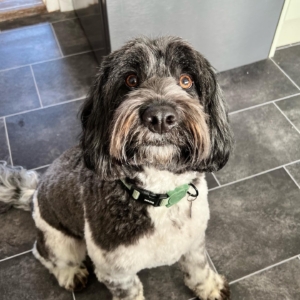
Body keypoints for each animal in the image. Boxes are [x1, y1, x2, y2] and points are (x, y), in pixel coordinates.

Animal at [0, 36, 233, 298]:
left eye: (186, 80)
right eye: (131, 80)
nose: (160, 117)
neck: (159, 194)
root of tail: (35, 193)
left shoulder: (194, 240)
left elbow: (198, 264)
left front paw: (209, 286)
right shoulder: (116, 273)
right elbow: (131, 291)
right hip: (60, 240)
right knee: (44, 253)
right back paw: (70, 273)